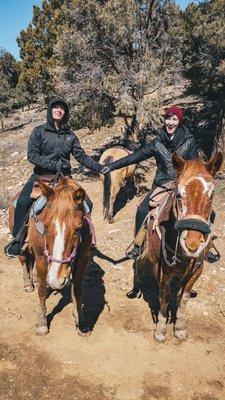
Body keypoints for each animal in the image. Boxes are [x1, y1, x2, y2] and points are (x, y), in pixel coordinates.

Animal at [8, 177, 92, 336]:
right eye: (46, 227)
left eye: (78, 229)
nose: (56, 280)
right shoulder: (42, 258)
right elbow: (41, 290)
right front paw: (42, 323)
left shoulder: (83, 259)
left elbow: (78, 291)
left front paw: (82, 322)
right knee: (23, 257)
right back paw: (28, 283)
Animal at [134, 152, 222, 342]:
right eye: (179, 194)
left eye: (211, 195)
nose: (192, 243)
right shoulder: (161, 270)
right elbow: (164, 296)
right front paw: (160, 329)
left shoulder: (196, 270)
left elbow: (184, 297)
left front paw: (179, 327)